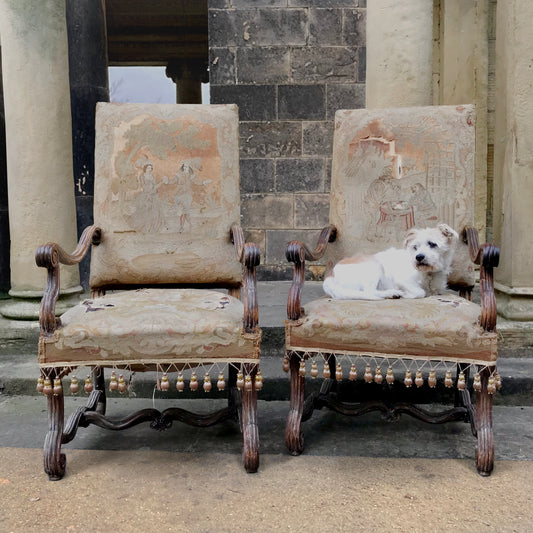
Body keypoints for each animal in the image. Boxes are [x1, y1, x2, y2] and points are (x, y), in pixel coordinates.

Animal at [322, 222, 460, 300]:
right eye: (415, 247)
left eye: (432, 244)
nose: (419, 257)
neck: (429, 273)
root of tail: (330, 275)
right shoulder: (403, 281)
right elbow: (420, 292)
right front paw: (406, 295)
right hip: (374, 266)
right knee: (369, 291)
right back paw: (392, 293)